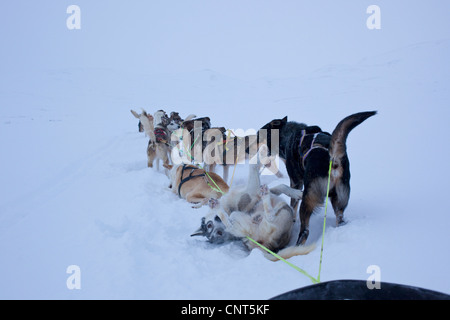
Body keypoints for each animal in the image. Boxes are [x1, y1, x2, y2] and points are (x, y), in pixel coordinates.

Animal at [256, 111, 376, 244]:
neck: (289, 135)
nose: (247, 149)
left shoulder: (296, 181)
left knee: (305, 232)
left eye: (259, 135)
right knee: (340, 220)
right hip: (339, 201)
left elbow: (293, 204)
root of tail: (333, 160)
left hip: (308, 200)